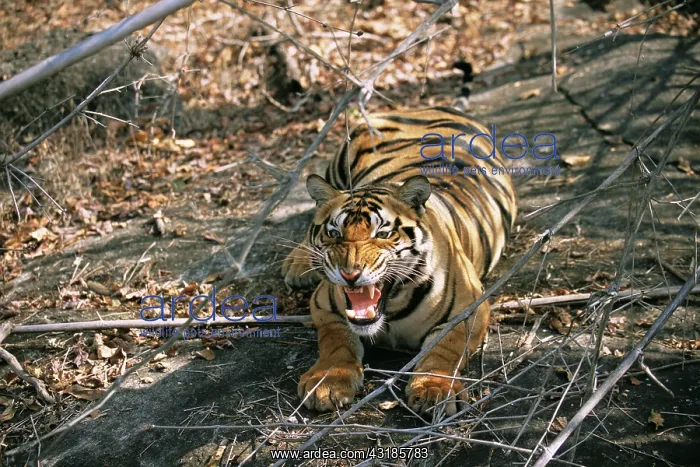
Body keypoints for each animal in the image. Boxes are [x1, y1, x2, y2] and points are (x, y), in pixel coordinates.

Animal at [282, 106, 518, 415]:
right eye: (334, 233)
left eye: (382, 233)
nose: (349, 274)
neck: (391, 310)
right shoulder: (324, 305)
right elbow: (335, 341)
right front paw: (328, 382)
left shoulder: (470, 309)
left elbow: (445, 348)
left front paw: (433, 389)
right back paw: (297, 264)